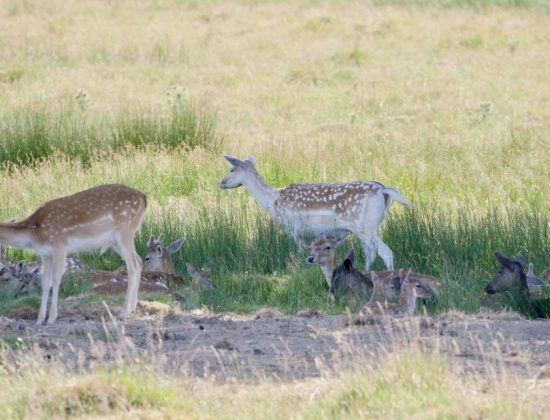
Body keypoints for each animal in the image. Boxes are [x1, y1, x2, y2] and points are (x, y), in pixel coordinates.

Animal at [0, 184, 147, 324]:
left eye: (6, 278)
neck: (35, 234)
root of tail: (144, 198)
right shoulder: (45, 254)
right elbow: (45, 282)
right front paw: (40, 319)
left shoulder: (60, 246)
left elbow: (56, 280)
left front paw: (51, 318)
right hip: (116, 241)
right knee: (139, 261)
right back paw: (132, 309)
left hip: (124, 232)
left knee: (133, 265)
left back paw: (124, 312)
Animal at [220, 156, 410, 270]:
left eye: (231, 170)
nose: (220, 182)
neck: (273, 201)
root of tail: (384, 190)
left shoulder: (293, 226)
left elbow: (297, 249)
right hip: (371, 227)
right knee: (372, 252)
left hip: (366, 227)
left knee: (385, 252)